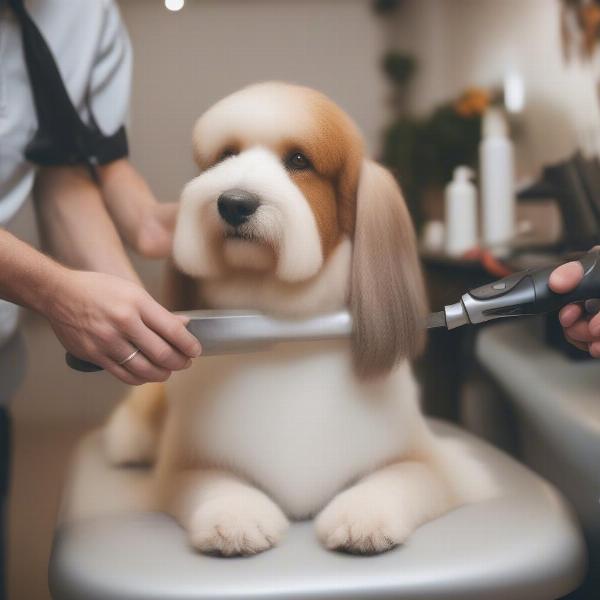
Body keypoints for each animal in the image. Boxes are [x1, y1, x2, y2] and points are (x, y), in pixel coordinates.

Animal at [104, 81, 496, 556]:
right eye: (224, 155)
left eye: (298, 161)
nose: (234, 202)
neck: (284, 323)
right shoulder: (184, 467)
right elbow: (214, 483)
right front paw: (237, 520)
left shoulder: (436, 463)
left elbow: (399, 478)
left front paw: (362, 518)